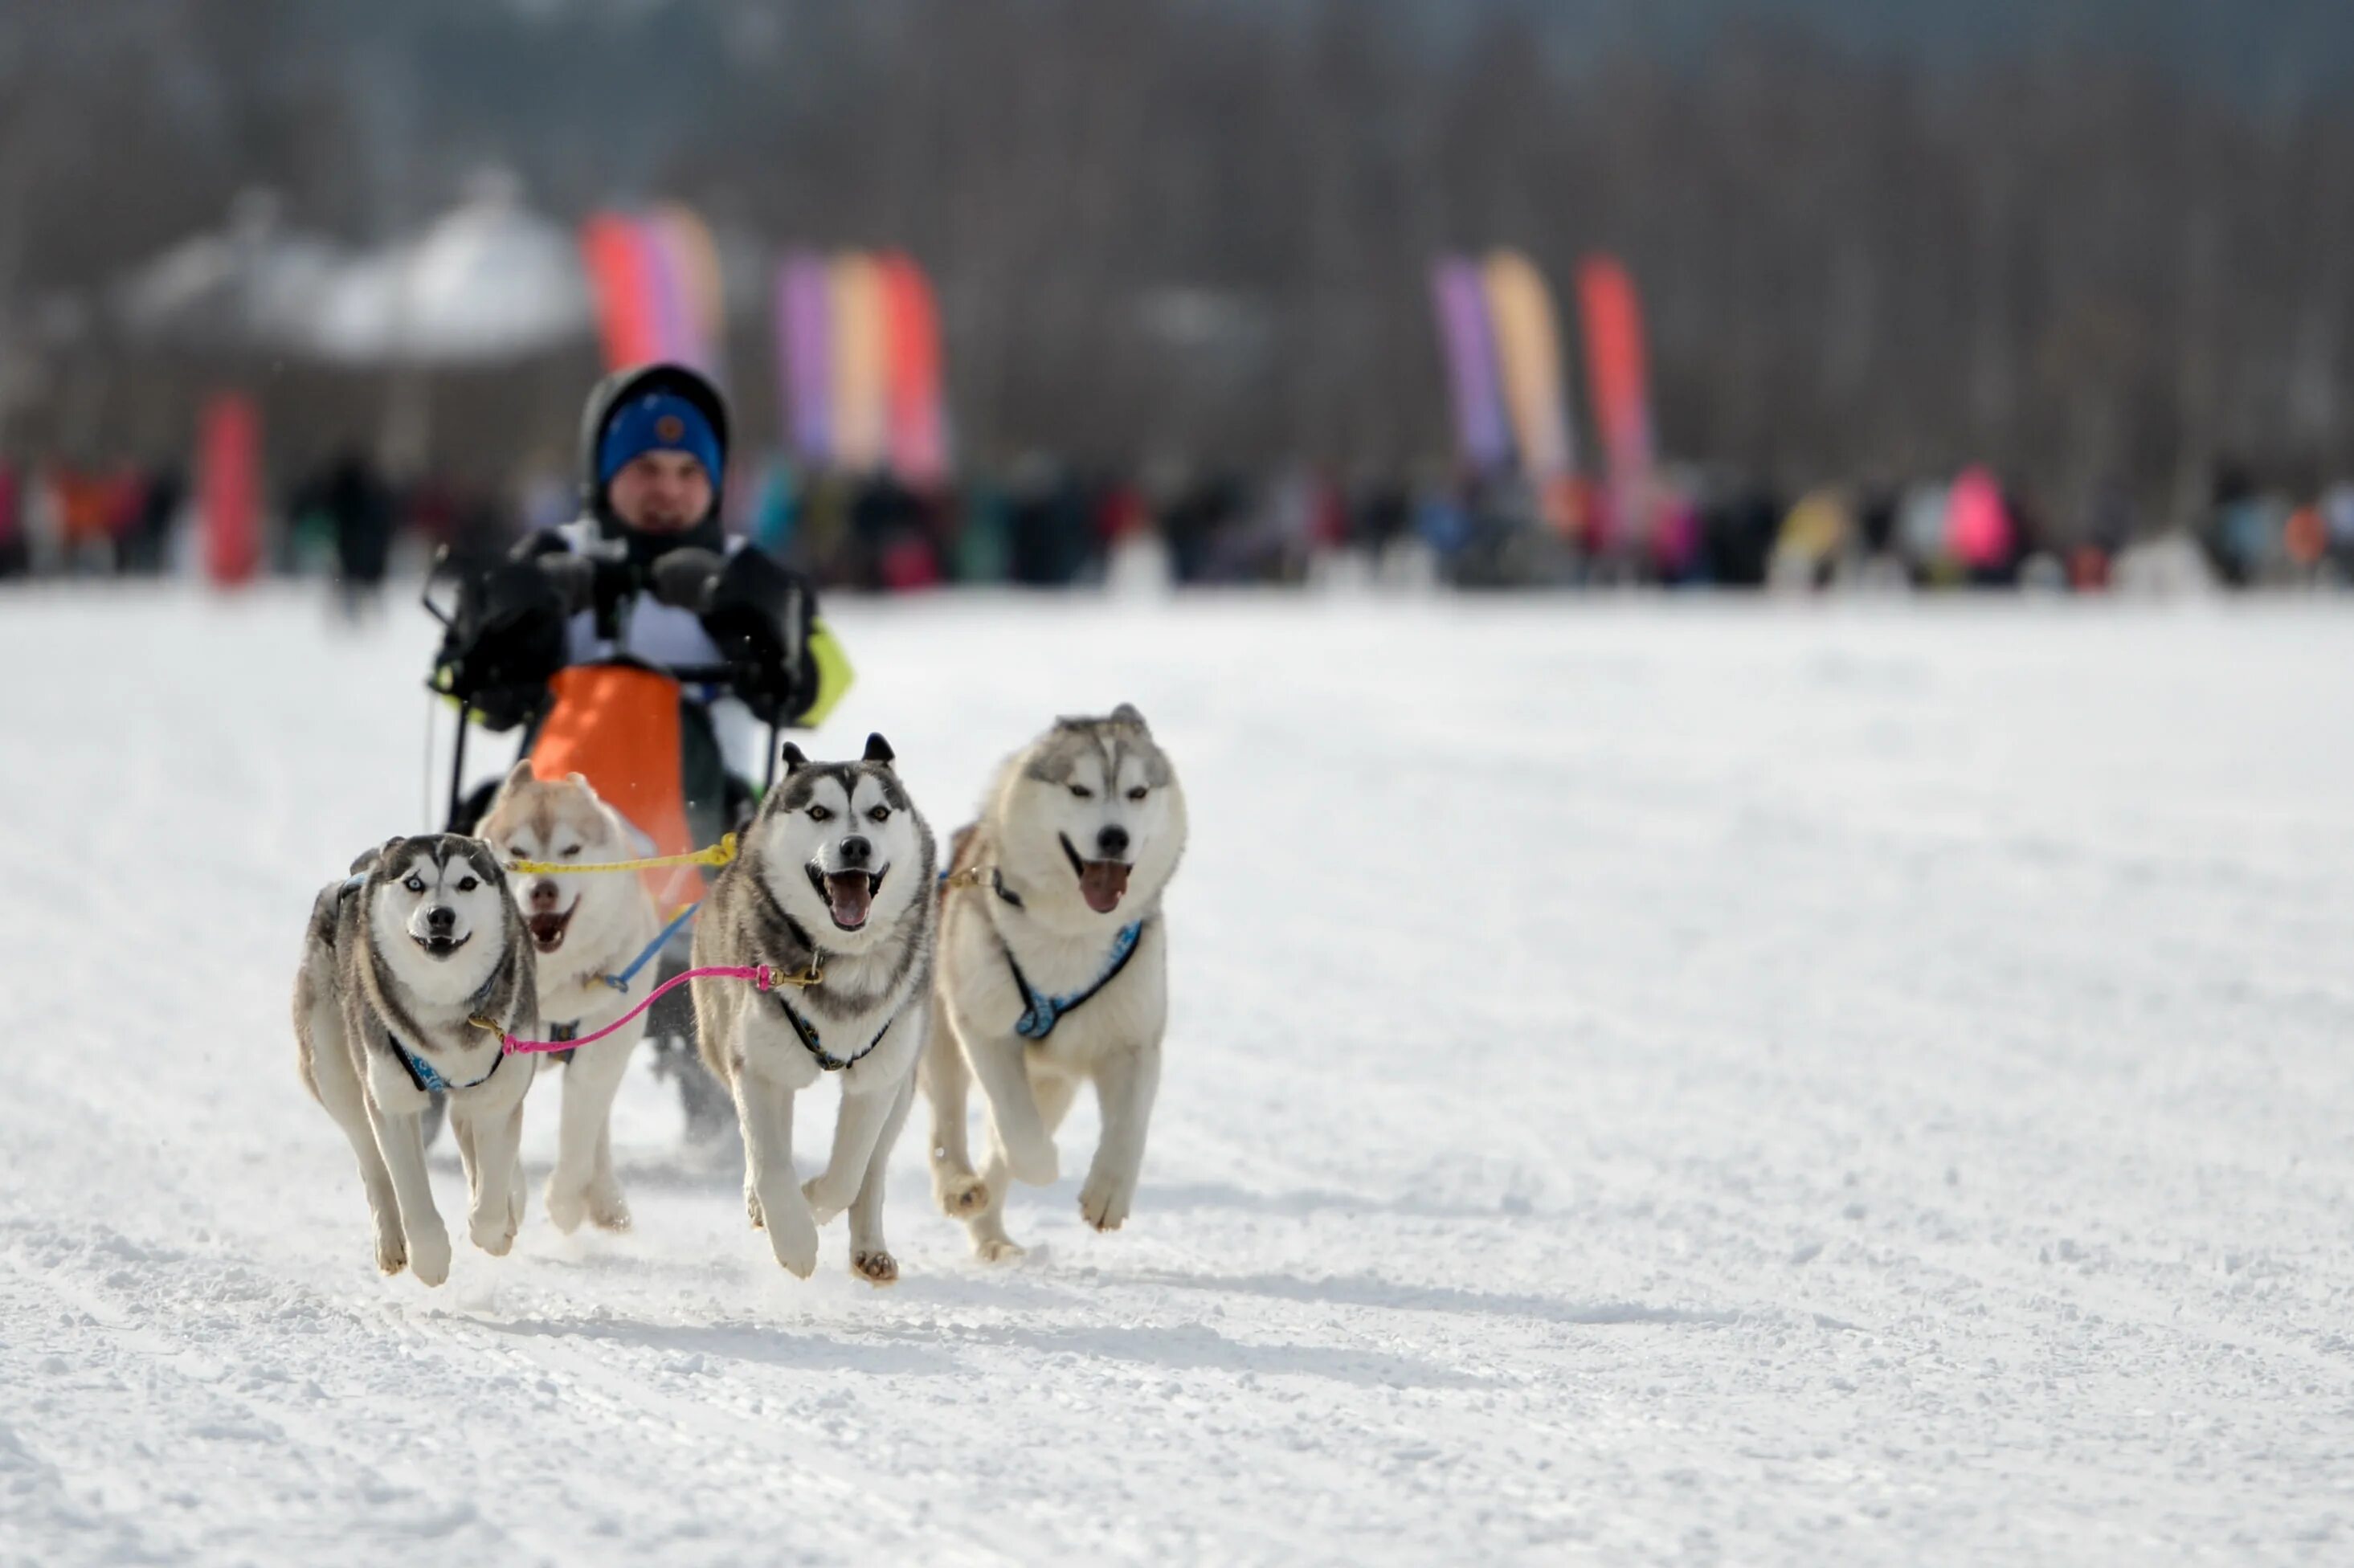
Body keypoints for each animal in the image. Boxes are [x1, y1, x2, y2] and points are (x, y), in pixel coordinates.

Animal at [292, 838, 537, 1280]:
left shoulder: (499, 1094)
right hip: (334, 1070)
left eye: (467, 882)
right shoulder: (393, 1101)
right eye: (415, 883)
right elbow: (410, 1188)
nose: (441, 915)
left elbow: (492, 1187)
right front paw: (431, 1257)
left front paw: (494, 1227)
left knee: (467, 1131)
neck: (444, 1005)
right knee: (371, 1162)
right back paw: (390, 1239)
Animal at [472, 757, 664, 1233]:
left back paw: (603, 1198)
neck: (551, 984)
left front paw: (564, 1203)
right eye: (519, 853)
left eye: (571, 851)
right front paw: (508, 1197)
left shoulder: (599, 1054)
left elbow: (580, 1137)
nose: (544, 889)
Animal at [687, 739, 937, 1280]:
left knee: (873, 1168)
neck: (837, 964)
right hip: (725, 1045)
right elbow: (770, 1162)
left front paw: (813, 1201)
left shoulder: (878, 1078)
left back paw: (870, 1249)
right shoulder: (758, 1069)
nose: (855, 846)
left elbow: (848, 1174)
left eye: (879, 813)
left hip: (904, 1078)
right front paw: (794, 1236)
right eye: (819, 812)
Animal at [913, 706, 1186, 1261]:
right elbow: (1017, 1130)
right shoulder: (986, 1029)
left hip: (1055, 1081)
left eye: (1138, 792)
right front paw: (1041, 1165)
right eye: (1079, 789)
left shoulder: (1134, 1041)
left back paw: (993, 1238)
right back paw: (960, 1187)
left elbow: (1130, 1126)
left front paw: (1108, 1192)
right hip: (943, 1043)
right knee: (947, 1125)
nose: (1114, 837)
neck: (1070, 936)